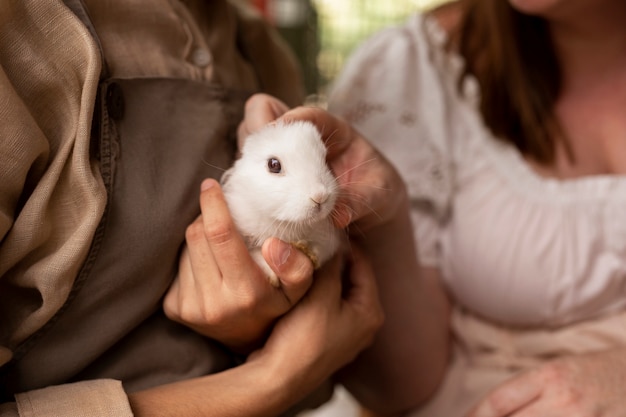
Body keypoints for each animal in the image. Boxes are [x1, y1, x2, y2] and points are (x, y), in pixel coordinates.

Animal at [222, 120, 342, 286]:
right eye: (273, 164)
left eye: (326, 160)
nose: (320, 196)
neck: (287, 223)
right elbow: (255, 254)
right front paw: (272, 277)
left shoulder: (330, 240)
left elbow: (321, 249)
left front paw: (310, 252)